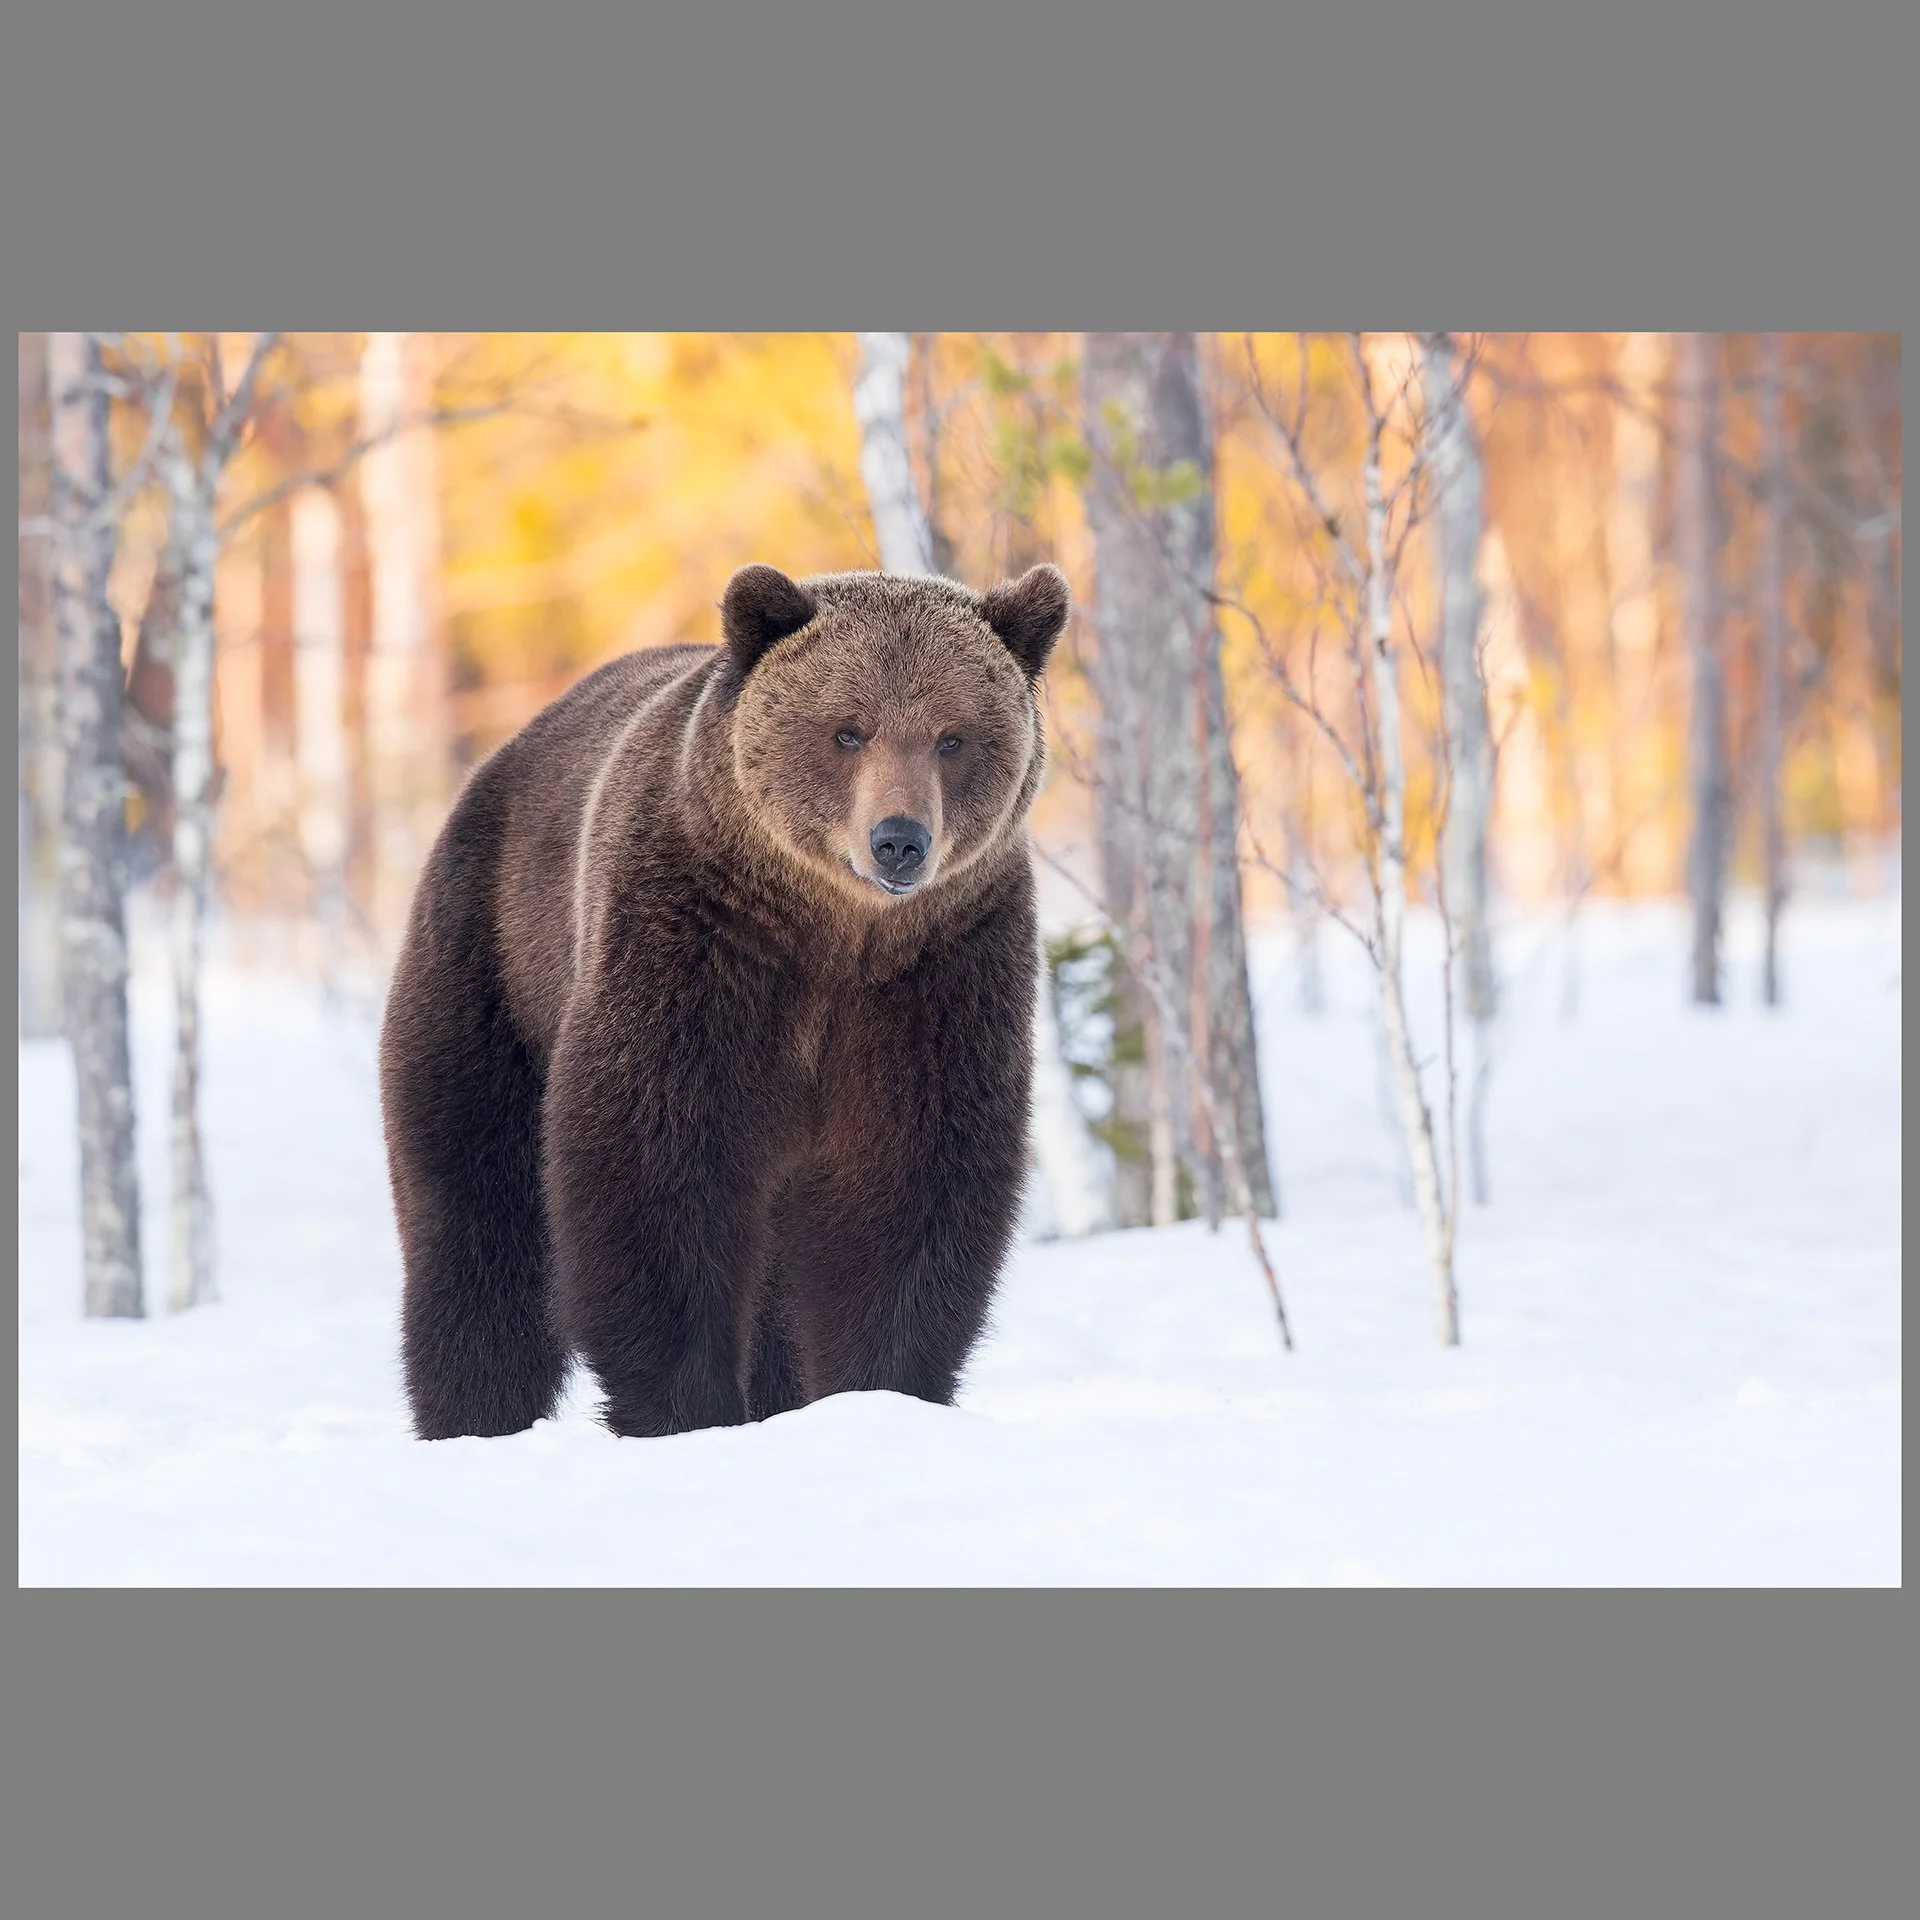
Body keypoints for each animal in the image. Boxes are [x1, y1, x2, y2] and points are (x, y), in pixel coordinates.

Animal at [378, 561, 1072, 1440]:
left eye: (953, 737)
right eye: (847, 730)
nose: (898, 840)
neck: (833, 935)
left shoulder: (938, 976)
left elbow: (910, 1176)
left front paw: (879, 1392)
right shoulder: (697, 950)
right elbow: (657, 1163)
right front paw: (686, 1407)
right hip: (494, 964)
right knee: (476, 1212)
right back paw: (474, 1412)